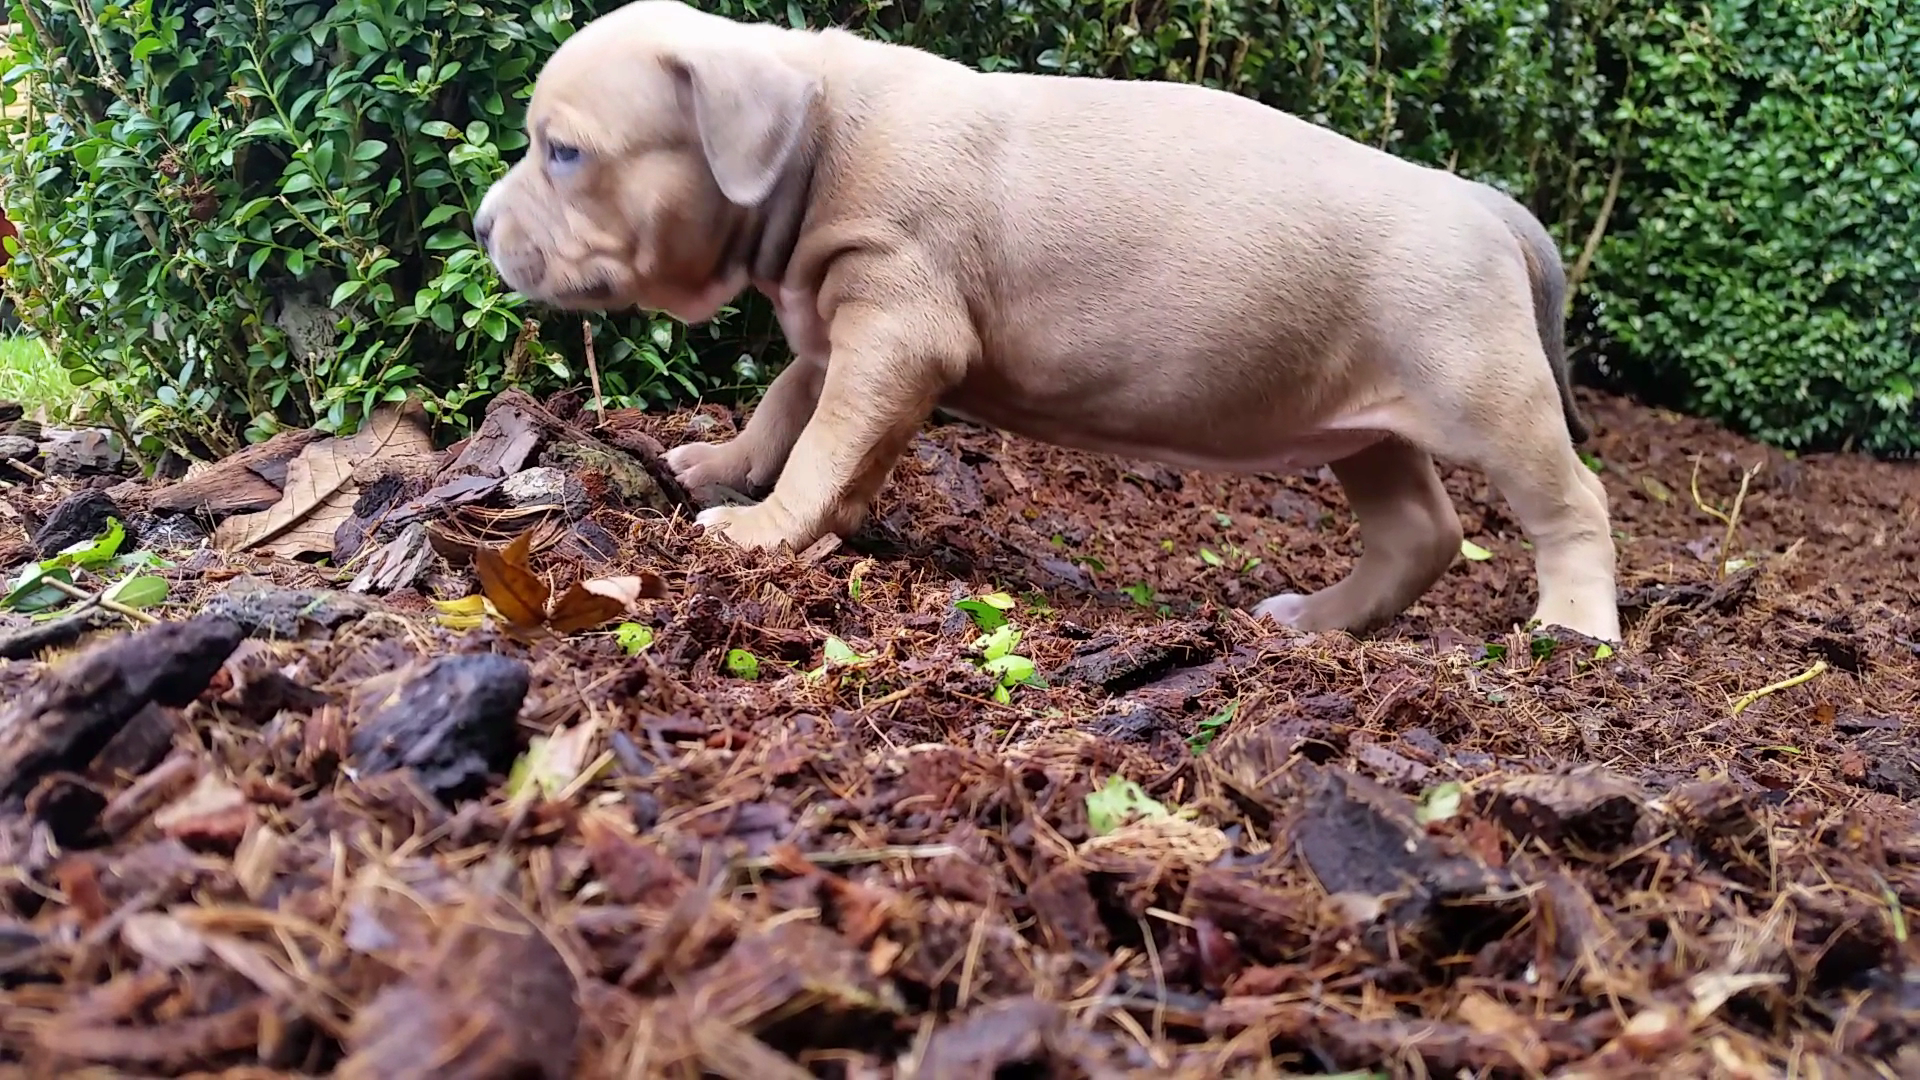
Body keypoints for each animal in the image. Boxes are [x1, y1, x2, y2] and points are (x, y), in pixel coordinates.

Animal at [476, 0, 1620, 638]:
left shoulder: (896, 319)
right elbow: (795, 407)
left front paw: (765, 531)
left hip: (1486, 391)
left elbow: (826, 439)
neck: (815, 126)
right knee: (1418, 533)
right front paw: (723, 464)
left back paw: (1576, 628)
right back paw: (1319, 622)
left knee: (1573, 501)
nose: (481, 222)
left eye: (564, 152)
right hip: (1366, 425)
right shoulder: (851, 323)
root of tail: (1485, 201)